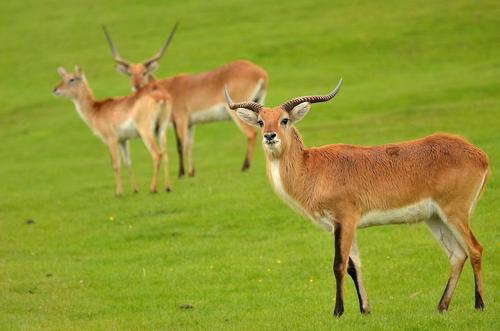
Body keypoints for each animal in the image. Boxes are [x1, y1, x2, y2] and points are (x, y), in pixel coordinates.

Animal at [52, 68, 173, 197]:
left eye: (72, 79)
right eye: (62, 77)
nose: (55, 89)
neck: (96, 110)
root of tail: (162, 97)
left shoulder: (110, 139)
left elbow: (115, 164)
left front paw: (118, 193)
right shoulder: (123, 140)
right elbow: (127, 162)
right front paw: (135, 190)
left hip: (145, 131)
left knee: (157, 154)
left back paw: (153, 188)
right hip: (161, 129)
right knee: (165, 154)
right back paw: (167, 187)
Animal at [102, 23, 270, 178]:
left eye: (144, 72)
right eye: (130, 73)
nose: (136, 86)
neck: (166, 89)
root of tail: (260, 72)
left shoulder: (180, 119)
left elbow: (180, 145)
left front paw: (181, 173)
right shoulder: (190, 123)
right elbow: (189, 144)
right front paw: (191, 172)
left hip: (235, 113)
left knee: (250, 134)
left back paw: (245, 167)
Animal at [226, 79, 488, 318]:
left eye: (284, 120)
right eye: (261, 121)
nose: (269, 136)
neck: (312, 170)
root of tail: (480, 155)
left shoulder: (346, 220)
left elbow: (339, 265)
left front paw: (338, 311)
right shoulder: (339, 226)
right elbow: (355, 265)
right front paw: (365, 310)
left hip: (455, 212)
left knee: (475, 248)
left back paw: (479, 305)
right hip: (434, 218)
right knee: (457, 255)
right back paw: (441, 306)